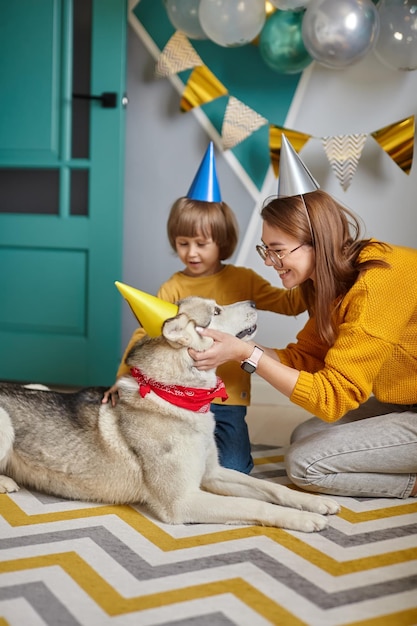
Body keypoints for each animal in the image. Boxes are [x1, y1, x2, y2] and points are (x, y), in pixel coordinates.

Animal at [0, 294, 338, 528]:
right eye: (216, 311)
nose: (254, 301)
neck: (178, 399)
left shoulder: (213, 473)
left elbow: (270, 488)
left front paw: (311, 501)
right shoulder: (182, 502)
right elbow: (254, 505)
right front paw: (302, 520)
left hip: (37, 386)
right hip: (5, 422)